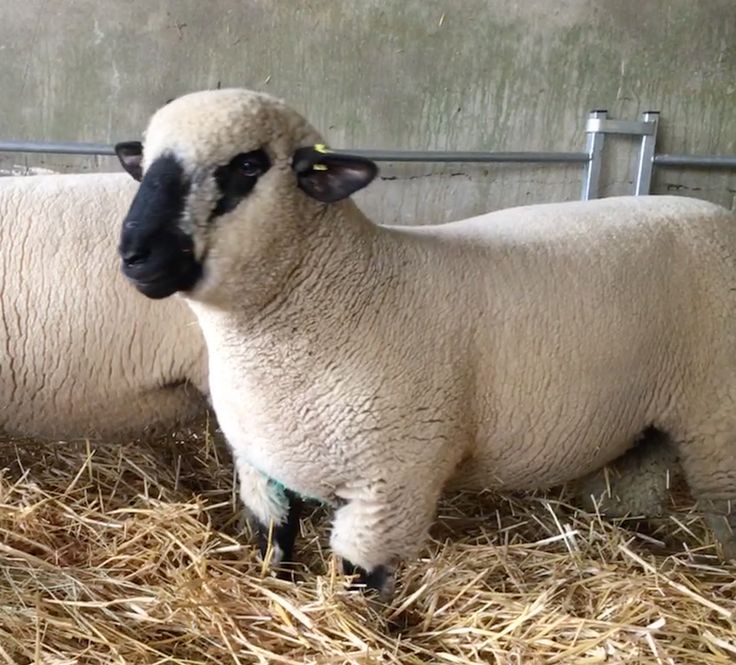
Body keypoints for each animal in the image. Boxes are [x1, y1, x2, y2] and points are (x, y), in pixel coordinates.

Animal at [112, 88, 732, 596]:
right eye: (145, 164)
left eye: (246, 165)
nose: (134, 254)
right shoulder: (262, 469)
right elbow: (275, 550)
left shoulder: (391, 489)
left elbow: (358, 585)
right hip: (649, 421)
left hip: (718, 421)